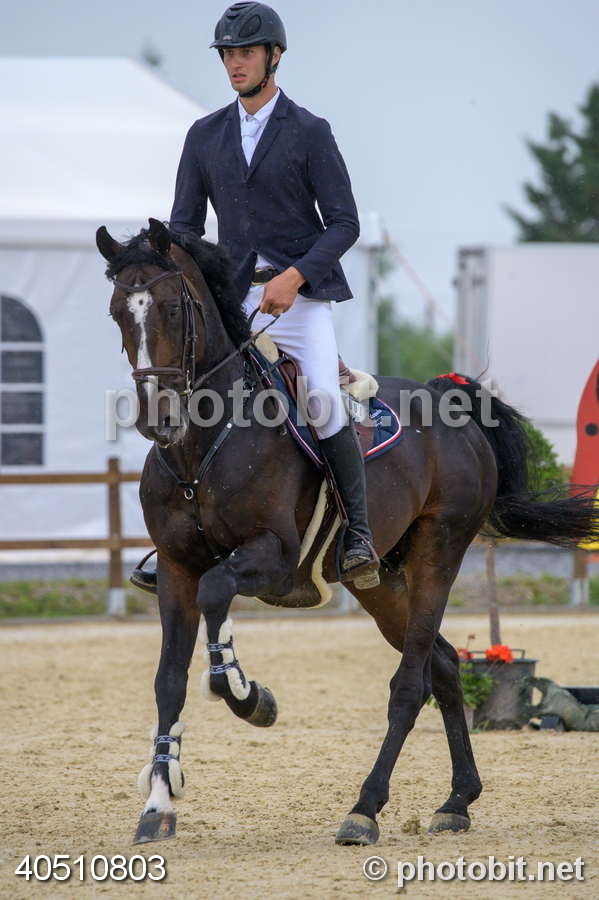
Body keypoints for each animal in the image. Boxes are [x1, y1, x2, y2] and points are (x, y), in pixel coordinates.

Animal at [96, 218, 598, 846]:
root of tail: (449, 399)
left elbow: (217, 595)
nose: (158, 419)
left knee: (409, 684)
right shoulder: (175, 567)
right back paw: (457, 800)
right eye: (118, 312)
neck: (202, 447)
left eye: (169, 308)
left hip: (438, 551)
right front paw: (159, 804)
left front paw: (247, 696)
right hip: (378, 580)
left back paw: (365, 808)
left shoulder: (272, 557)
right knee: (444, 662)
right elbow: (169, 681)